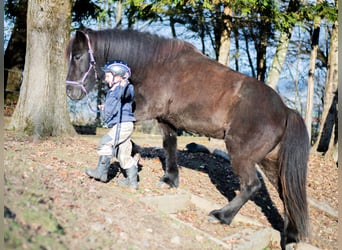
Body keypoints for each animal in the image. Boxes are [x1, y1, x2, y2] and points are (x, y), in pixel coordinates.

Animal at [66, 28, 310, 247]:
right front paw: (169, 179)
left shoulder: (145, 110)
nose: (70, 92)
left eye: (77, 56)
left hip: (242, 155)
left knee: (251, 185)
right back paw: (290, 237)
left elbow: (122, 130)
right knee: (286, 192)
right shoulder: (166, 121)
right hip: (270, 162)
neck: (158, 64)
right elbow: (169, 146)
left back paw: (221, 216)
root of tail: (285, 110)